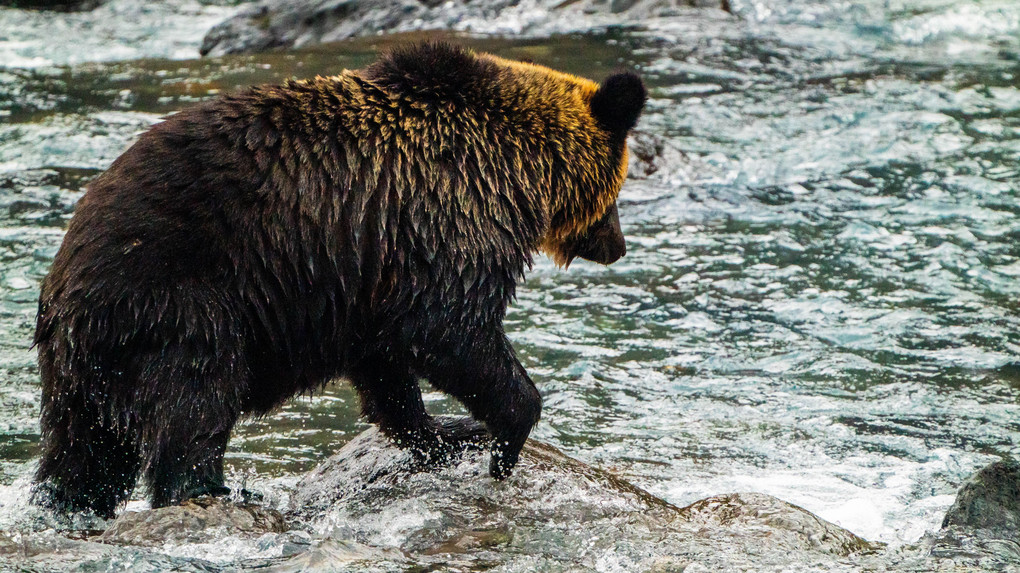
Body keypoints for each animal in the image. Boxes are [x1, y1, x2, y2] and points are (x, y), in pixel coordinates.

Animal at [33, 42, 644, 515]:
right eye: (618, 189)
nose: (617, 246)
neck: (514, 170)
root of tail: (63, 291)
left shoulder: (374, 274)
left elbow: (389, 369)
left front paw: (448, 434)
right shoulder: (446, 224)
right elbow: (449, 331)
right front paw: (506, 436)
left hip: (86, 372)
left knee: (84, 457)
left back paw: (69, 505)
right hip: (178, 299)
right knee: (195, 398)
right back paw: (218, 490)